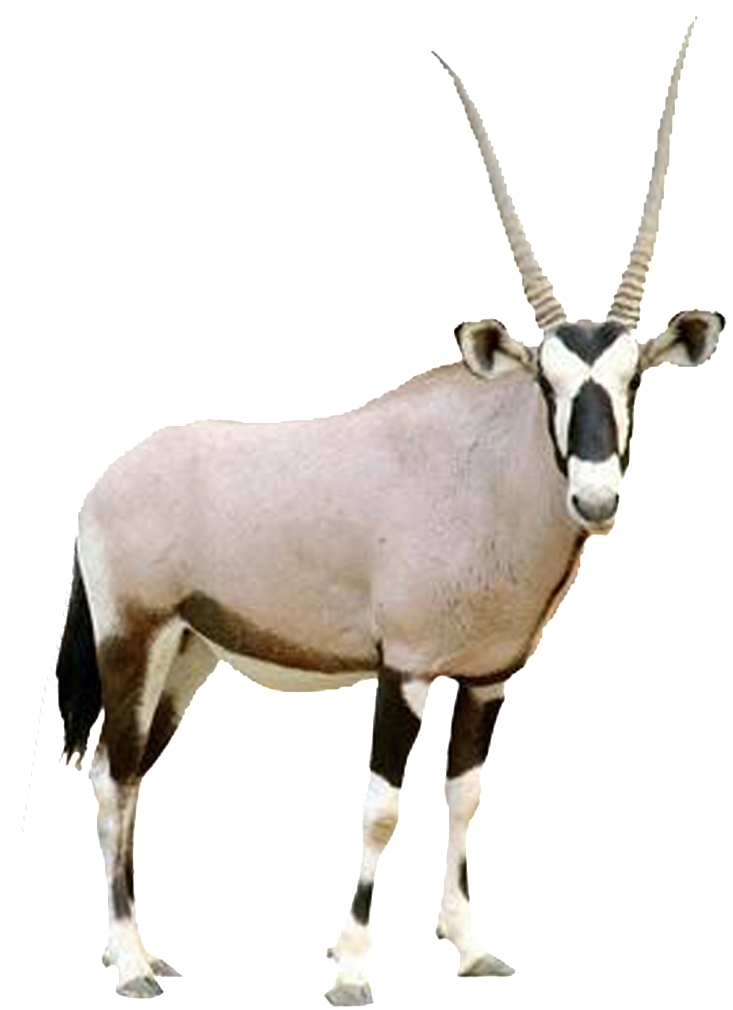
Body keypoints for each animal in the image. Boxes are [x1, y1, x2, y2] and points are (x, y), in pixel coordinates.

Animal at [10, 5, 726, 1006]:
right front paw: (349, 967)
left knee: (133, 777)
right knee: (113, 776)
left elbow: (465, 797)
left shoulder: (486, 678)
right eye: (544, 380)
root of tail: (102, 480)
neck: (486, 472)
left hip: (188, 655)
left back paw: (140, 953)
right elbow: (379, 808)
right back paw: (132, 965)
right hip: (133, 637)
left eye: (634, 380)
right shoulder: (406, 670)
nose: (594, 497)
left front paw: (469, 946)